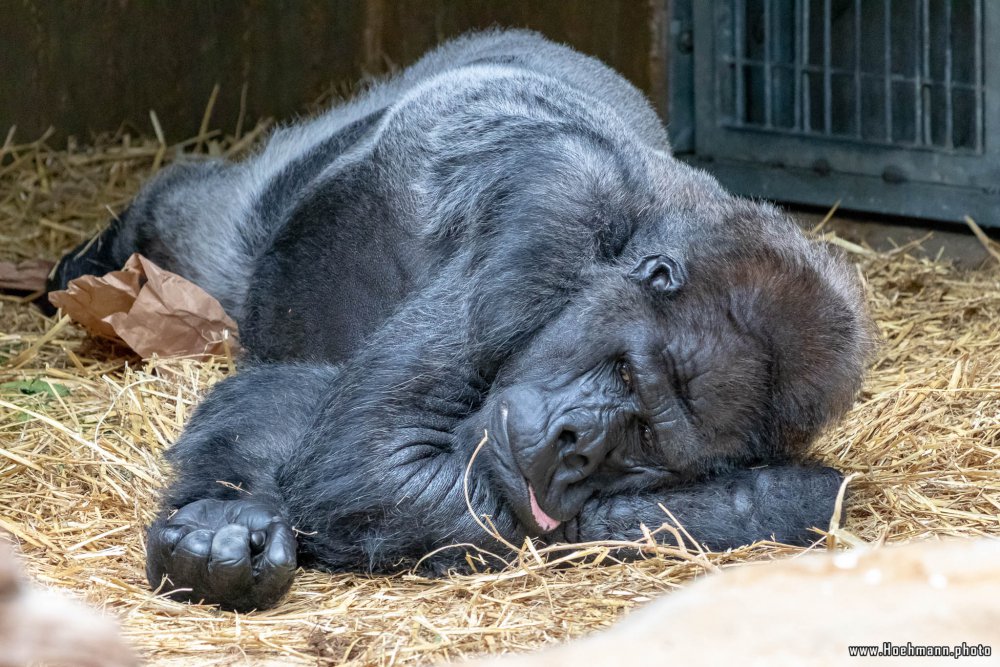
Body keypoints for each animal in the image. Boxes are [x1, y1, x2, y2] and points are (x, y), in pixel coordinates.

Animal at [50, 32, 872, 616]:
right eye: (627, 370)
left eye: (649, 443)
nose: (576, 445)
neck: (632, 227)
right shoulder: (549, 205)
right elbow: (366, 462)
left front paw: (770, 498)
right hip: (258, 210)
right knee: (188, 221)